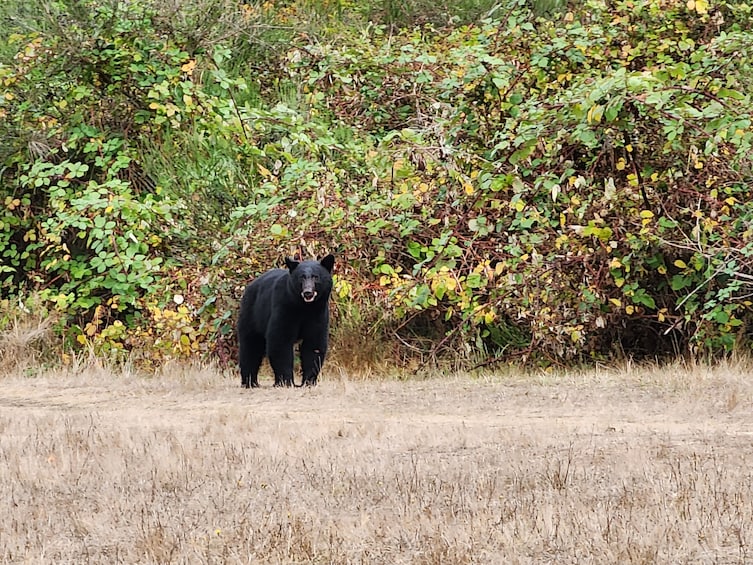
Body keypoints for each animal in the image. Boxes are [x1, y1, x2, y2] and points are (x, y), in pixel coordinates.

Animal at [238, 254, 334, 388]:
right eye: (301, 277)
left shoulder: (318, 314)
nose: (308, 292)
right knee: (251, 346)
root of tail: (250, 286)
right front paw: (286, 382)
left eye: (316, 277)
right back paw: (250, 382)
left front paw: (308, 382)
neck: (305, 307)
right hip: (252, 314)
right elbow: (280, 340)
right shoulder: (285, 307)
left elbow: (314, 344)